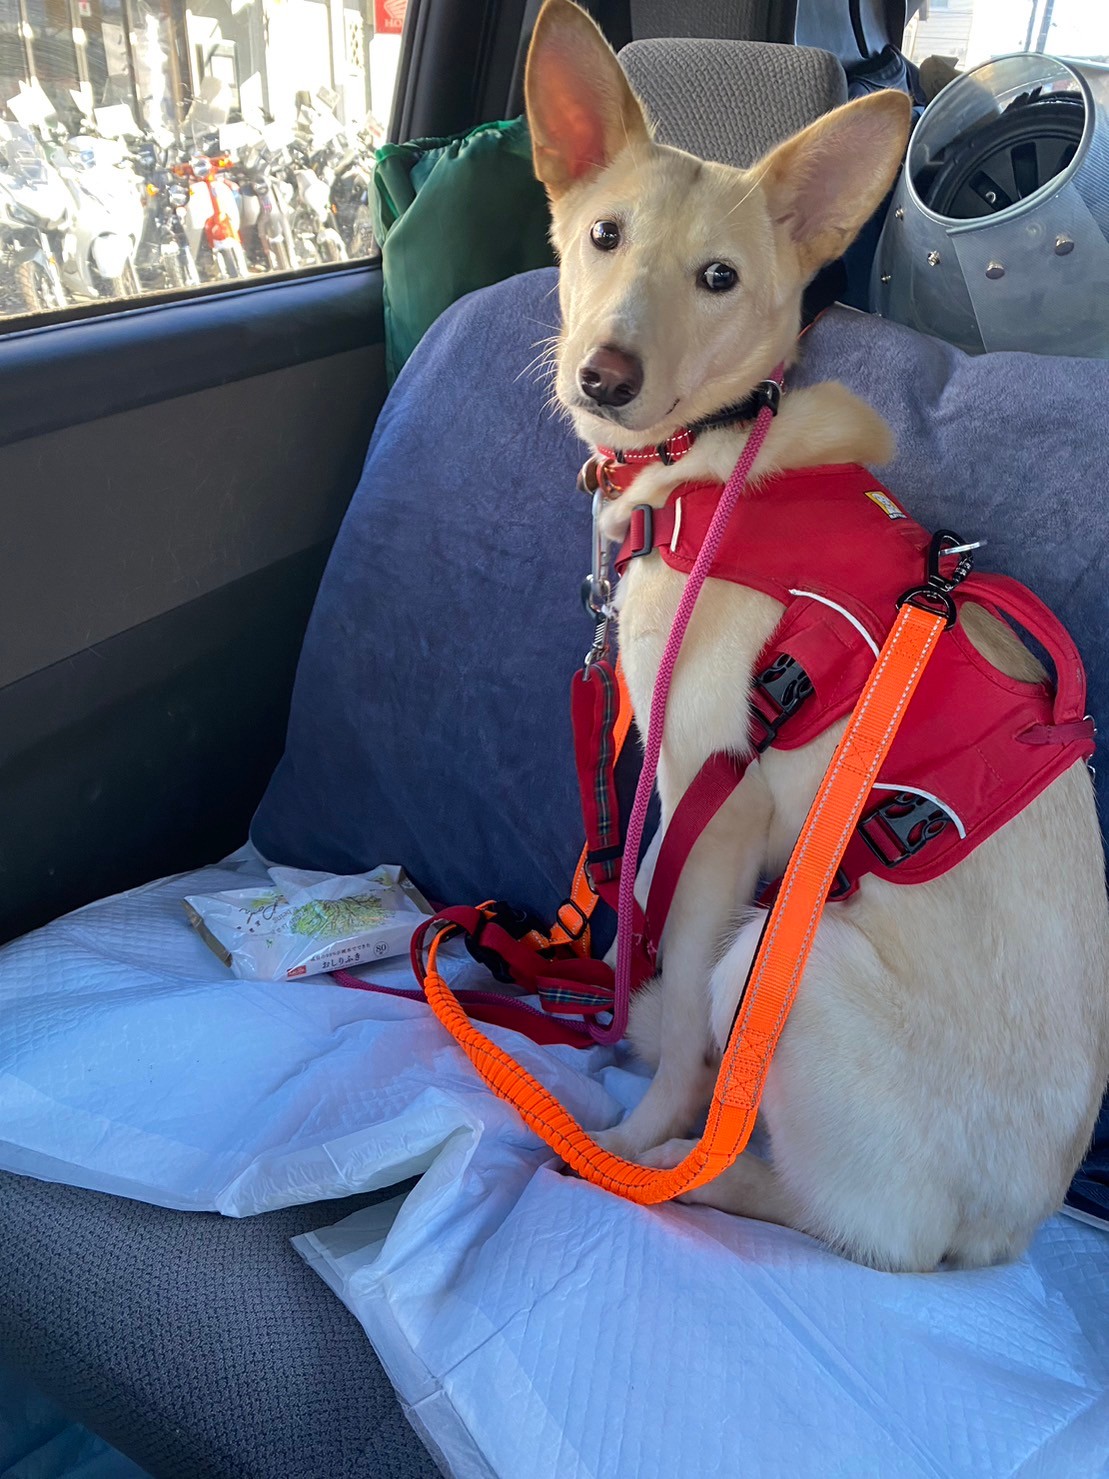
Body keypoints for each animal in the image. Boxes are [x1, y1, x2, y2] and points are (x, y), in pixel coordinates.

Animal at [525, 0, 1109, 1271]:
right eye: (602, 236)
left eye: (718, 279)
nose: (604, 375)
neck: (716, 456)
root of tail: (1002, 1234)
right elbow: (639, 919)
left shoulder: (712, 795)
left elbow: (664, 946)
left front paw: (640, 1125)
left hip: (775, 957)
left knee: (838, 1220)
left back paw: (688, 1172)